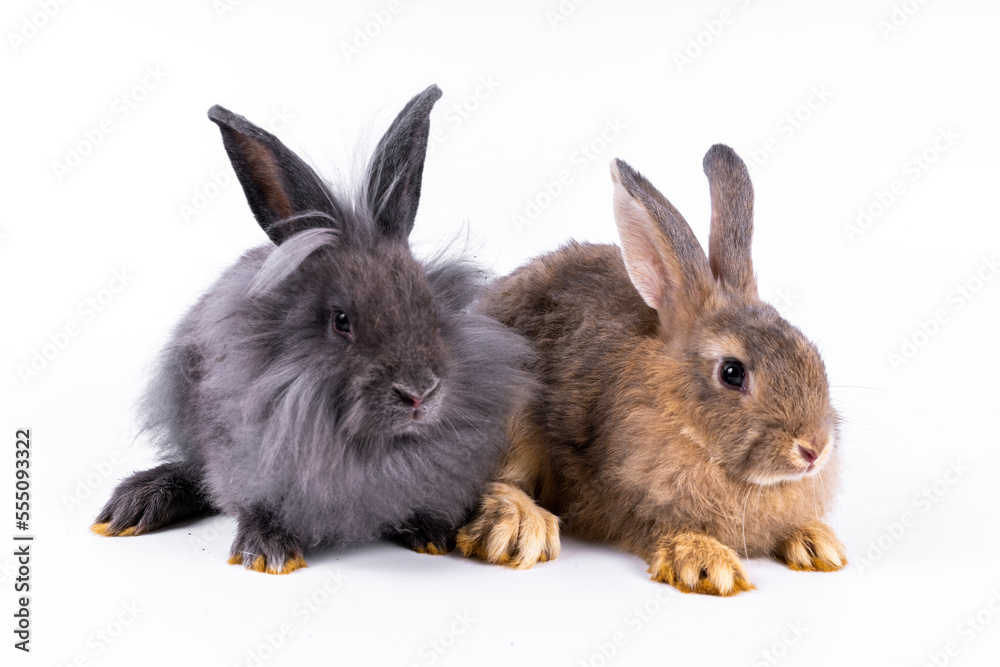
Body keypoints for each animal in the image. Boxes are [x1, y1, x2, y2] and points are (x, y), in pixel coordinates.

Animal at [91, 85, 533, 574]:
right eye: (341, 322)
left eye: (430, 305)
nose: (419, 394)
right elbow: (253, 501)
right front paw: (268, 551)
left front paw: (431, 533)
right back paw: (135, 505)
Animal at [457, 145, 846, 595]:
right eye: (732, 373)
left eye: (810, 352)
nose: (814, 449)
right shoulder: (630, 497)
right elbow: (663, 527)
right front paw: (708, 563)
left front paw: (816, 543)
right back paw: (520, 526)